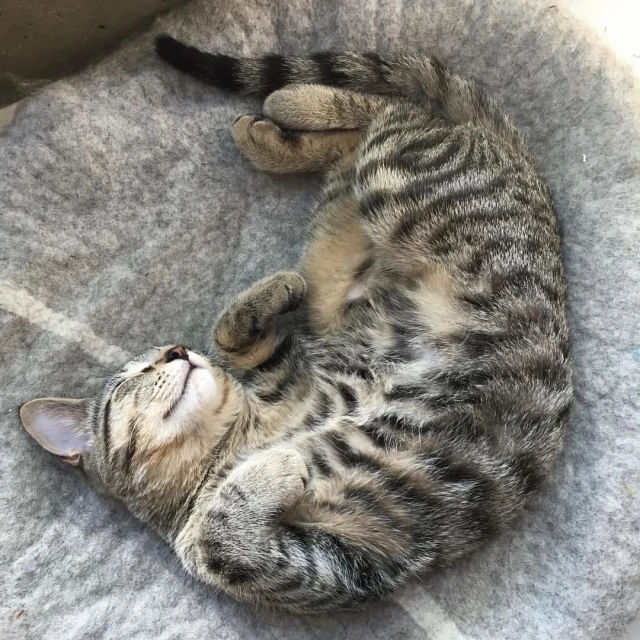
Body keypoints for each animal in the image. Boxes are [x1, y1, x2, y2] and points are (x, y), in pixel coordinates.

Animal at [18, 36, 568, 616]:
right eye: (134, 378)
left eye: (168, 350)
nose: (176, 353)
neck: (237, 442)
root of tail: (521, 166)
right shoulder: (320, 567)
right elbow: (217, 532)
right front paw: (272, 469)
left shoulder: (290, 379)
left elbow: (231, 335)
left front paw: (263, 301)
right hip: (354, 224)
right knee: (380, 130)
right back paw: (277, 127)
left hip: (398, 198)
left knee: (392, 113)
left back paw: (286, 108)